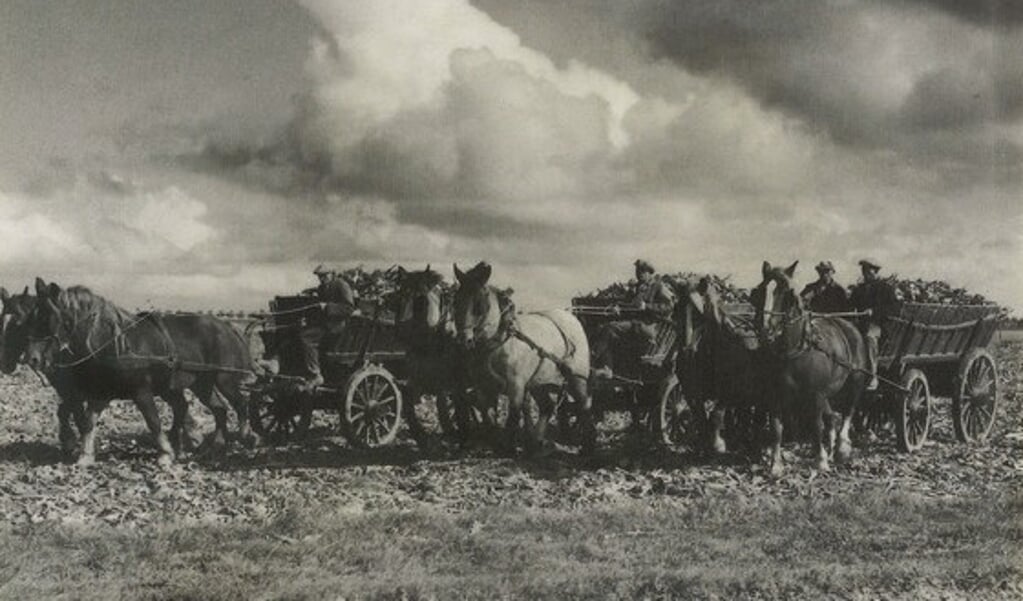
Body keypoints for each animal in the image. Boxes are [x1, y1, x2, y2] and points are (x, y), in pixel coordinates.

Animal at [24, 280, 255, 468]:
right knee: (217, 409)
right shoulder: (101, 394)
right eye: (31, 318)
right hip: (200, 384)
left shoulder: (141, 392)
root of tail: (226, 325)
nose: (32, 359)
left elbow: (153, 421)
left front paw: (164, 454)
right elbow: (88, 422)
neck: (113, 344)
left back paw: (245, 436)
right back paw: (216, 445)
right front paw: (85, 456)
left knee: (240, 403)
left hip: (224, 379)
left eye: (48, 318)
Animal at [390, 266, 478, 448]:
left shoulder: (450, 384)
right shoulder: (417, 380)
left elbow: (444, 404)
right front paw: (421, 437)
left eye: (420, 300)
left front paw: (454, 432)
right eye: (398, 297)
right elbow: (408, 401)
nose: (401, 332)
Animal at [454, 261, 597, 454]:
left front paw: (509, 449)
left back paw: (588, 444)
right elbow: (488, 418)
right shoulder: (482, 387)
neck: (499, 341)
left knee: (584, 405)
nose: (464, 340)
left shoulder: (516, 385)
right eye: (455, 301)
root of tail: (571, 317)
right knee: (547, 406)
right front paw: (495, 444)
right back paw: (536, 442)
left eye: (479, 305)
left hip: (576, 378)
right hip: (539, 382)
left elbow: (513, 417)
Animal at [748, 262, 867, 475]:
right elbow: (776, 428)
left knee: (848, 411)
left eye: (788, 293)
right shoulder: (774, 394)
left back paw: (842, 447)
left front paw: (820, 461)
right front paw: (776, 465)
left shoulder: (816, 395)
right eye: (759, 291)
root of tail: (846, 324)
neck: (795, 350)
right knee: (831, 418)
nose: (766, 330)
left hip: (856, 380)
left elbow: (816, 426)